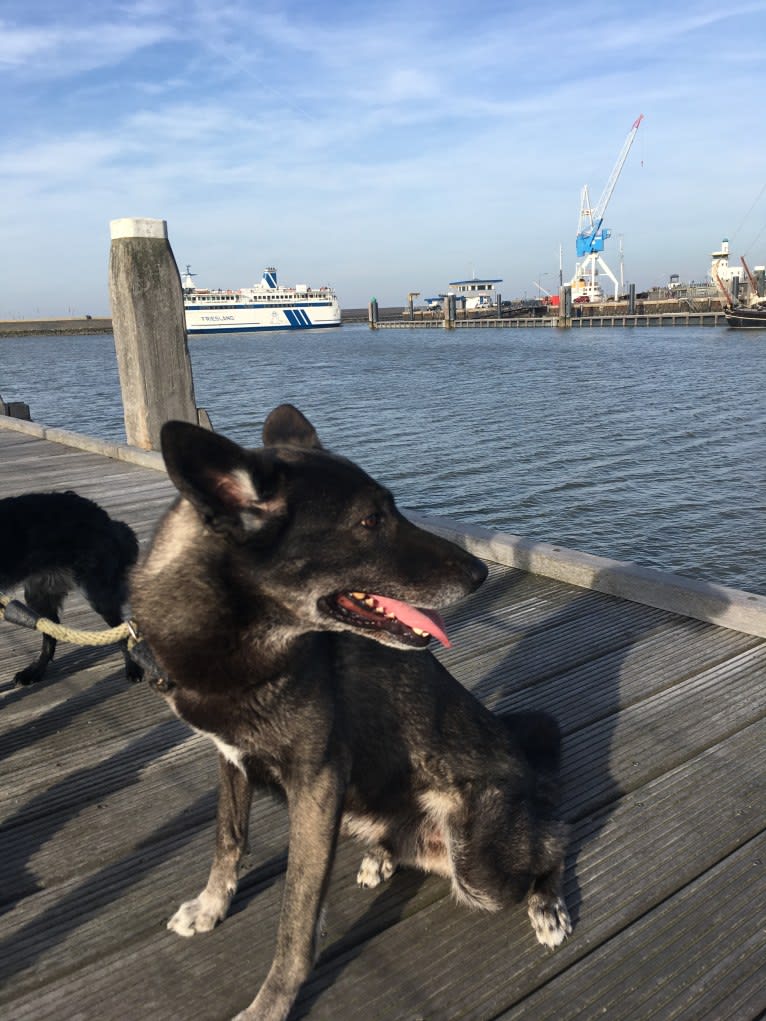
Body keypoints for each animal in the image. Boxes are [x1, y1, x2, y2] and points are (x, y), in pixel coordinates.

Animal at [0, 490, 142, 682]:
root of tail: (105, 518)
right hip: (38, 595)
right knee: (49, 632)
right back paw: (36, 671)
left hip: (98, 593)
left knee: (123, 631)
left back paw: (133, 668)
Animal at [130, 406, 571, 1021]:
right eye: (369, 520)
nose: (480, 574)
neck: (238, 645)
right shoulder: (232, 760)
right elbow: (228, 839)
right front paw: (211, 905)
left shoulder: (316, 786)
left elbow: (296, 917)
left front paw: (270, 1004)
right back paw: (382, 856)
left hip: (482, 868)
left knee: (555, 839)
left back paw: (547, 902)